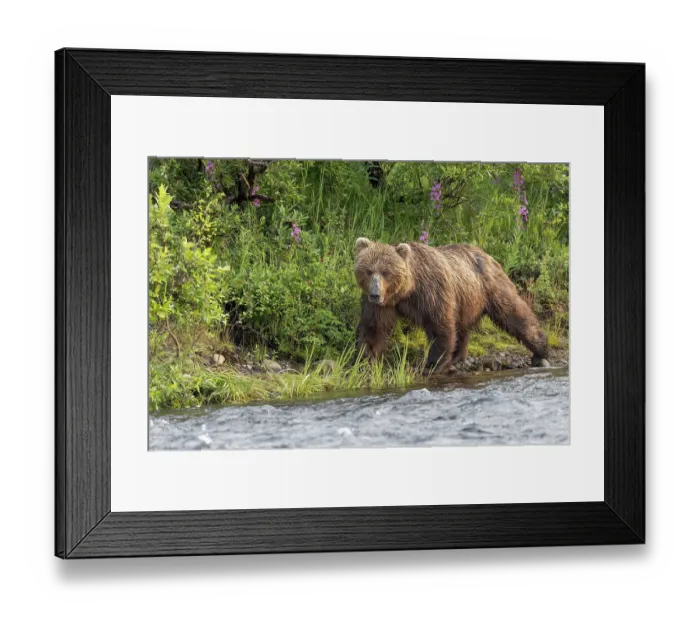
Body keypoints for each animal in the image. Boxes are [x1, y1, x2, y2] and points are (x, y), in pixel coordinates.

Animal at [353, 237, 550, 372]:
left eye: (386, 272)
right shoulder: (383, 305)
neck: (408, 291)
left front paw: (432, 364)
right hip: (466, 300)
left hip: (490, 287)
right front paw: (365, 357)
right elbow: (374, 328)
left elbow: (440, 326)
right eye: (368, 271)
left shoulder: (433, 294)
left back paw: (540, 350)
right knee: (462, 328)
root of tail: (488, 255)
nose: (375, 294)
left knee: (513, 313)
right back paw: (457, 356)